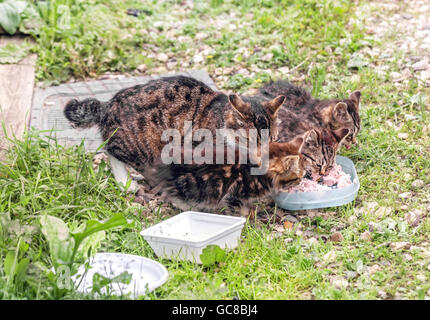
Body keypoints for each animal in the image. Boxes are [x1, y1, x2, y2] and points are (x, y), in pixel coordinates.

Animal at [64, 74, 286, 190]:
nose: (262, 155)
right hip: (140, 146)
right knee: (111, 150)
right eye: (251, 140)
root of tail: (109, 104)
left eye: (272, 139)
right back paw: (127, 183)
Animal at [145, 132, 310, 218]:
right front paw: (245, 218)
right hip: (192, 186)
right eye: (298, 177)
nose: (301, 182)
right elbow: (238, 210)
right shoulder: (235, 193)